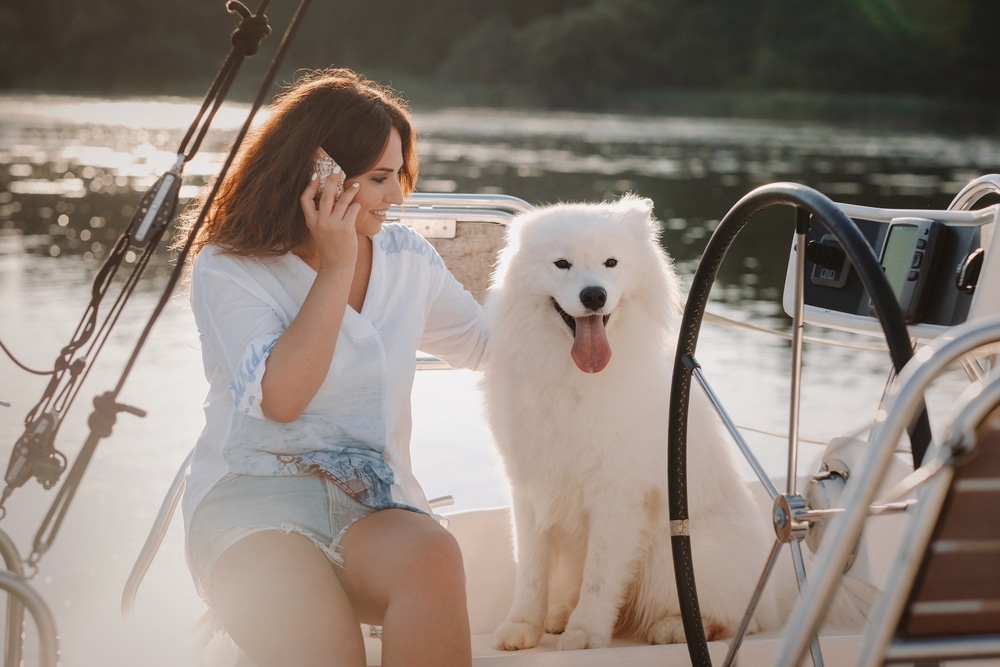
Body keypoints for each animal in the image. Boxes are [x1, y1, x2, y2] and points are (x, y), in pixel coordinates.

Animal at [478, 194, 780, 652]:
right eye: (562, 264)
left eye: (611, 262)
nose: (594, 295)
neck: (574, 379)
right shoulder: (529, 487)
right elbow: (530, 569)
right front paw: (522, 626)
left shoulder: (617, 494)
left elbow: (602, 577)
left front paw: (585, 633)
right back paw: (560, 615)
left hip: (675, 555)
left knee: (735, 618)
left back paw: (672, 627)